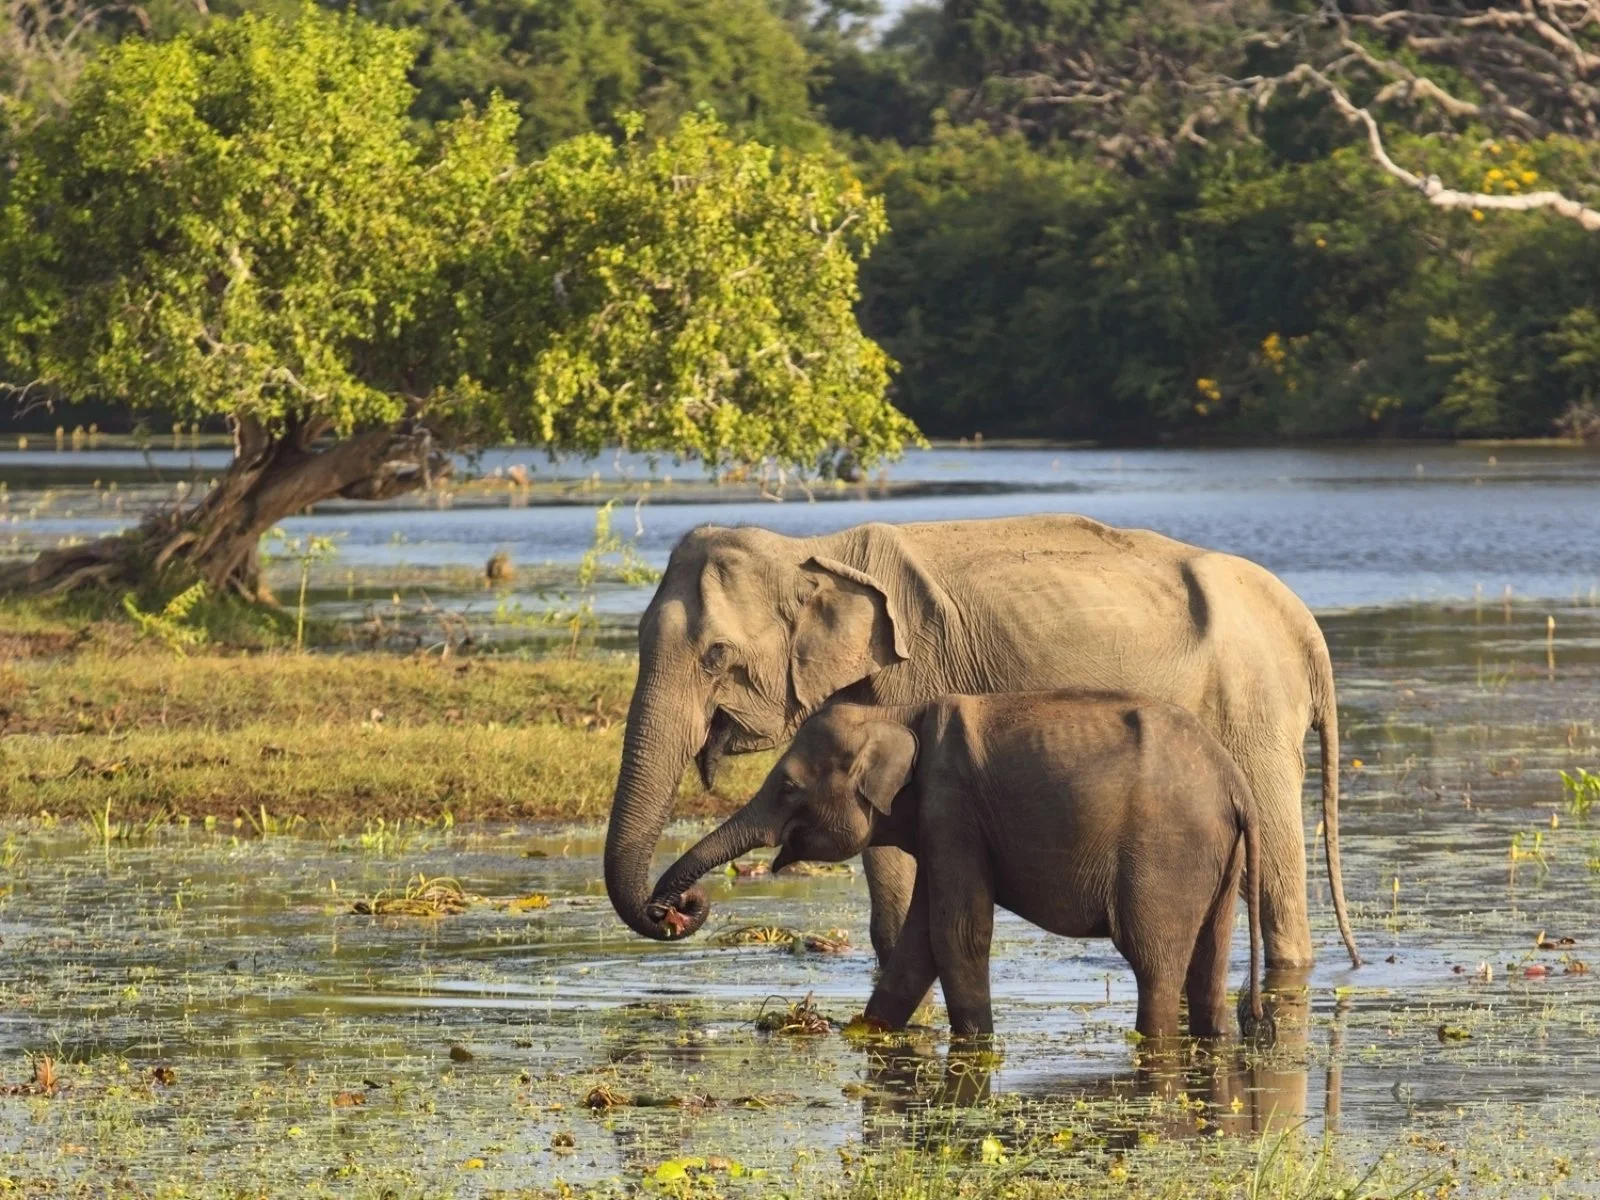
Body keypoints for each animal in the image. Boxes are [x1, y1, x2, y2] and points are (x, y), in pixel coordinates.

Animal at [604, 512, 1356, 972]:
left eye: (714, 656)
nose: (678, 911)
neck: (811, 551)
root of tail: (1303, 623)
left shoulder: (914, 677)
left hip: (1252, 707)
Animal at [646, 694, 1260, 1043]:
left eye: (790, 786)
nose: (676, 909)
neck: (896, 715)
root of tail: (1235, 784)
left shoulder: (952, 806)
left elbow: (956, 931)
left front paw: (976, 1044)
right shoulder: (938, 824)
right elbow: (920, 939)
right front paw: (866, 1030)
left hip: (1165, 854)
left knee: (1152, 961)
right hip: (1215, 861)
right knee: (1208, 961)